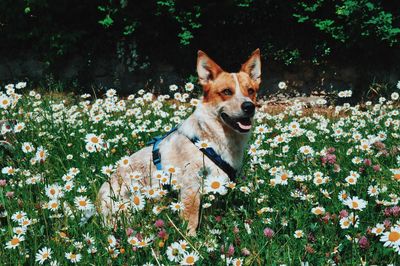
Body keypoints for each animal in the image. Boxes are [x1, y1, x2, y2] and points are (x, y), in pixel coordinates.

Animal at [97, 48, 262, 235]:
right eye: (227, 91)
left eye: (250, 90)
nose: (249, 106)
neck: (211, 139)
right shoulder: (190, 187)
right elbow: (191, 219)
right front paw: (192, 239)